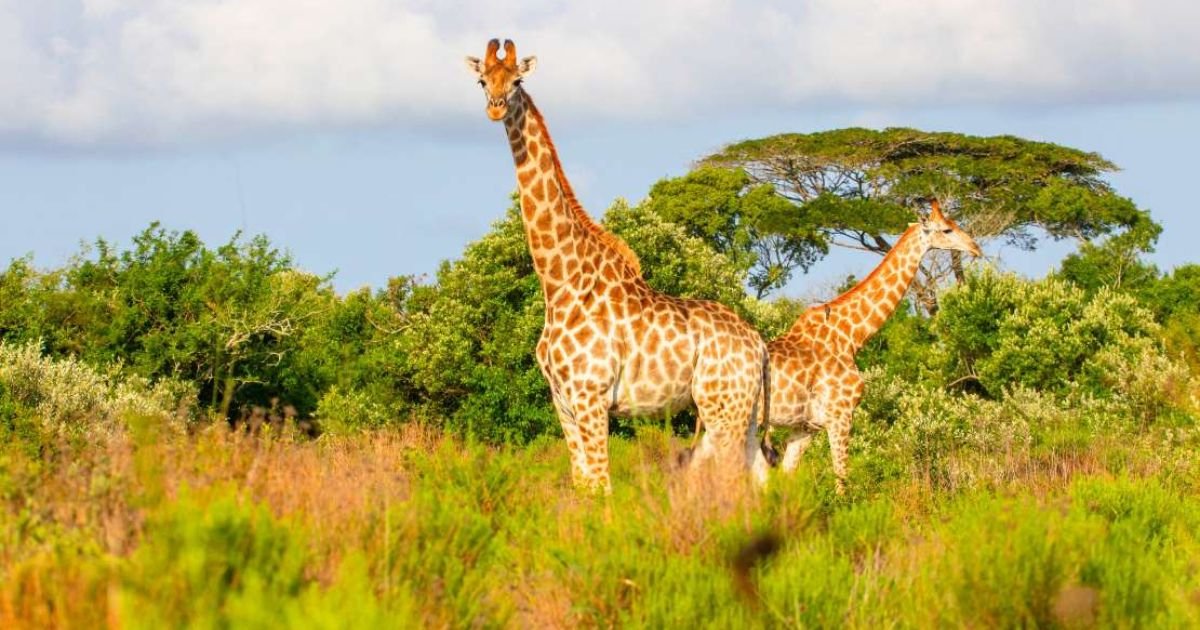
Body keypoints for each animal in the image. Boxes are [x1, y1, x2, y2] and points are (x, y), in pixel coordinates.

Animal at [465, 39, 771, 491]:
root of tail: (760, 344)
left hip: (722, 409)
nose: (496, 107)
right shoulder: (563, 402)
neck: (558, 282)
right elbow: (583, 485)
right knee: (764, 478)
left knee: (734, 483)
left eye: (517, 80)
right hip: (743, 411)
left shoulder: (591, 397)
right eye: (482, 80)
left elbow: (602, 486)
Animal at [763, 200, 981, 493]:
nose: (975, 247)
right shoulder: (840, 415)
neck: (851, 336)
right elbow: (842, 480)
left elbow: (786, 481)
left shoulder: (806, 426)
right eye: (947, 229)